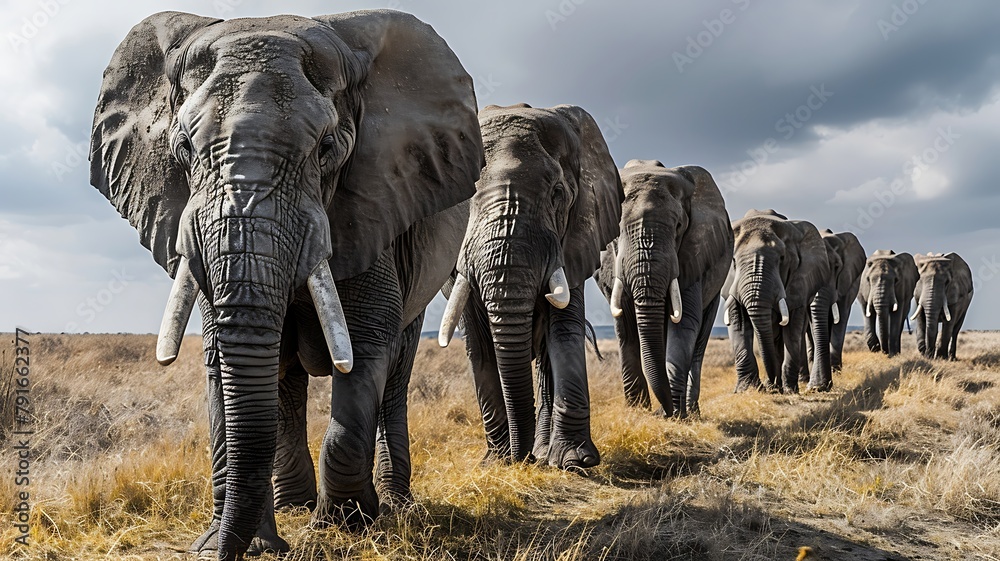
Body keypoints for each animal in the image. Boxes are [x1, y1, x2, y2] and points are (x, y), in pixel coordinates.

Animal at [89, 11, 483, 560]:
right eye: (183, 149)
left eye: (326, 149)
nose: (221, 552)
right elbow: (226, 359)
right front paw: (243, 540)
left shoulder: (373, 207)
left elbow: (364, 349)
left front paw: (347, 525)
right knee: (286, 380)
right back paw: (295, 504)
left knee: (396, 370)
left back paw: (393, 504)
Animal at [438, 103, 623, 470]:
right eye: (465, 200)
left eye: (557, 194)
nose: (522, 459)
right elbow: (478, 343)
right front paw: (496, 463)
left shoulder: (574, 237)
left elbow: (563, 328)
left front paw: (576, 461)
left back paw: (546, 450)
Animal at [593, 161, 732, 419]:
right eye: (617, 229)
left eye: (678, 226)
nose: (663, 413)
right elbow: (626, 326)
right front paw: (637, 411)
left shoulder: (693, 253)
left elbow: (684, 323)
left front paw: (675, 415)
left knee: (699, 339)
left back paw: (692, 412)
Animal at [724, 210, 831, 394]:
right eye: (734, 261)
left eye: (782, 259)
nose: (772, 388)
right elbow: (737, 321)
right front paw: (747, 390)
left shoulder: (800, 280)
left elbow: (792, 329)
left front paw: (789, 390)